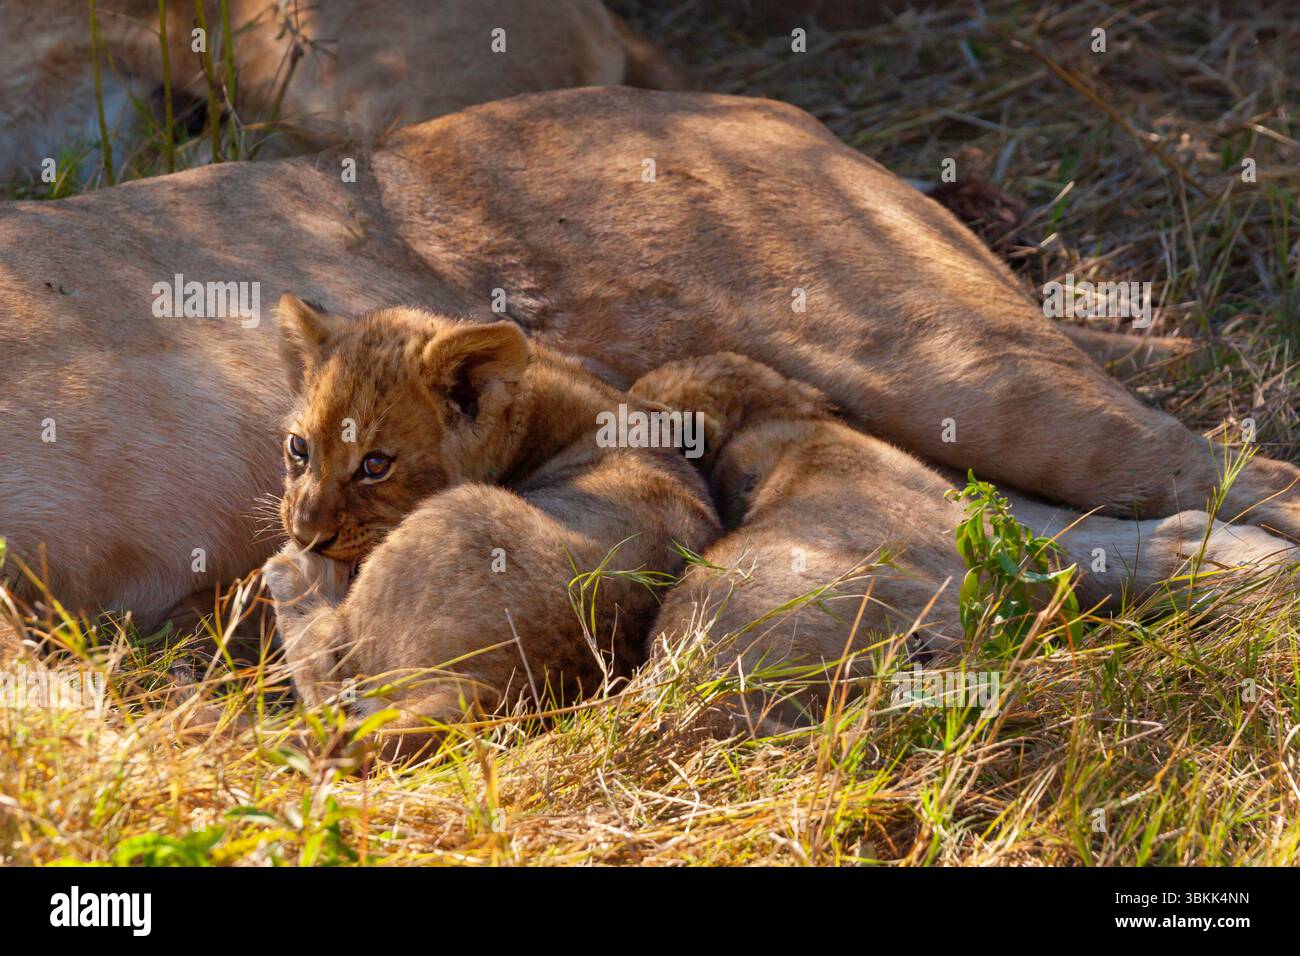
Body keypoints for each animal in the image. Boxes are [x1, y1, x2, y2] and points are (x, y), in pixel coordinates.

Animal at [258, 295, 719, 759]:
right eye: (299, 448)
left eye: (375, 465)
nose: (306, 535)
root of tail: (486, 690)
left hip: (452, 516)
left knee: (332, 668)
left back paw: (294, 569)